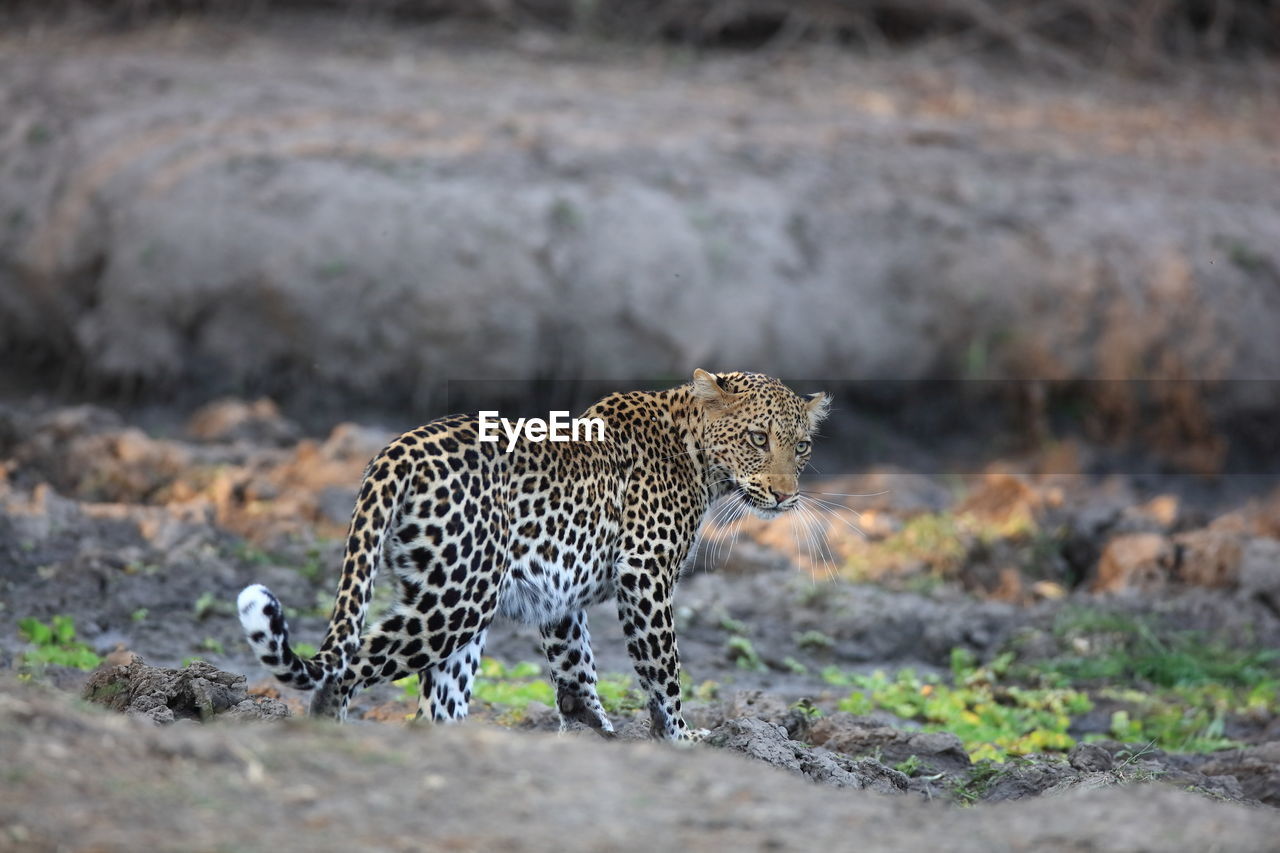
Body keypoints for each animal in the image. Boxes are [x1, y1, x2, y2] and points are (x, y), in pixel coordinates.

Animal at [239, 371, 829, 737]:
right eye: (756, 438)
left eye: (800, 446)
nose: (785, 496)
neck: (698, 454)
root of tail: (396, 449)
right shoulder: (645, 575)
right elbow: (663, 672)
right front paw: (682, 737)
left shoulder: (557, 595)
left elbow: (577, 667)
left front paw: (591, 727)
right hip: (456, 602)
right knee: (346, 671)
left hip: (450, 597)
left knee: (435, 703)